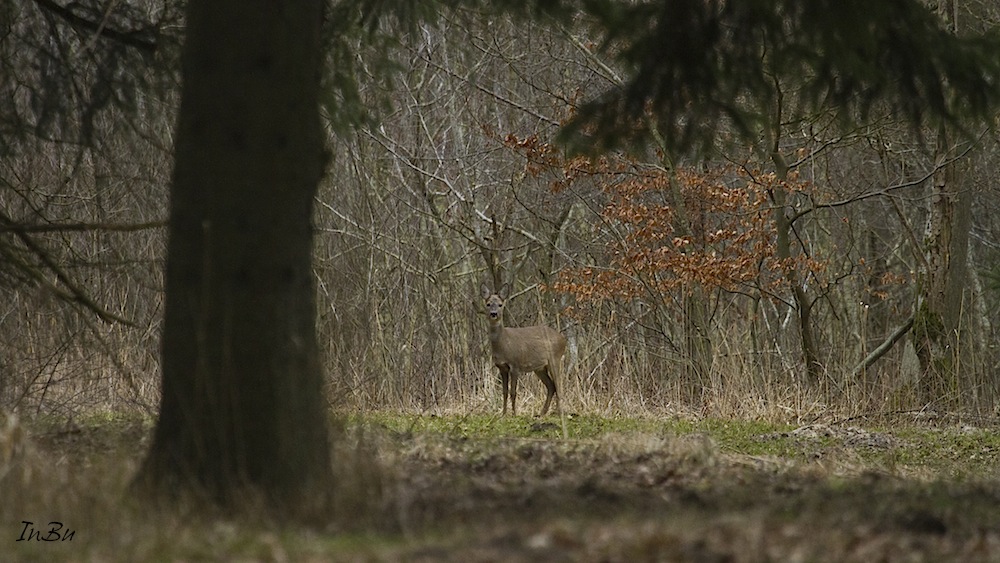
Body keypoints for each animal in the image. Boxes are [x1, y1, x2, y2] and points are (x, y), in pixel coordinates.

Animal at [480, 284, 568, 416]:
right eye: (488, 304)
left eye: (500, 304)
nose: (494, 313)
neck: (504, 344)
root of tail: (563, 339)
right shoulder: (502, 367)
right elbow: (504, 392)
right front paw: (503, 414)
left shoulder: (515, 364)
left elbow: (513, 392)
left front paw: (514, 414)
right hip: (540, 368)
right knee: (551, 386)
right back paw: (542, 413)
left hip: (555, 359)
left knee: (559, 385)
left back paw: (559, 413)